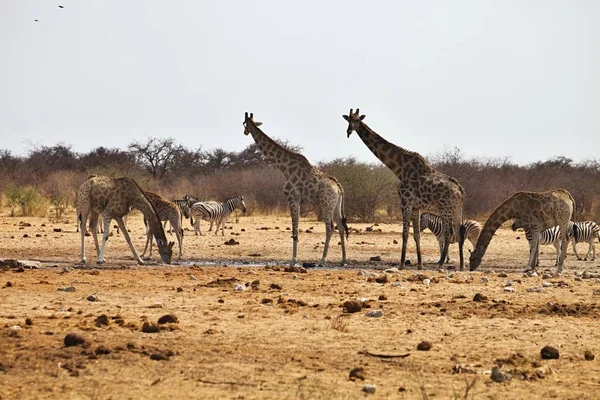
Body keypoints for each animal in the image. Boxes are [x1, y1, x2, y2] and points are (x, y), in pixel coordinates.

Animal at [243, 111, 350, 266]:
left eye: (244, 124)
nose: (245, 132)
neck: (285, 168)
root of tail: (339, 188)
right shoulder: (298, 200)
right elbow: (297, 229)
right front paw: (294, 259)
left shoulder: (292, 197)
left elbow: (295, 230)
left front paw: (293, 260)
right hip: (336, 205)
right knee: (341, 226)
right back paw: (343, 260)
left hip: (326, 203)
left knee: (330, 227)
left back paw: (323, 260)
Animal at [342, 108, 468, 268]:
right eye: (348, 119)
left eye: (357, 120)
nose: (348, 131)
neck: (400, 168)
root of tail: (461, 191)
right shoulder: (416, 206)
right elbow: (416, 234)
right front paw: (420, 265)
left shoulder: (405, 201)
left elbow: (405, 233)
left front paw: (401, 264)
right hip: (457, 210)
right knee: (459, 232)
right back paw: (462, 266)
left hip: (445, 209)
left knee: (449, 234)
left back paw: (441, 264)